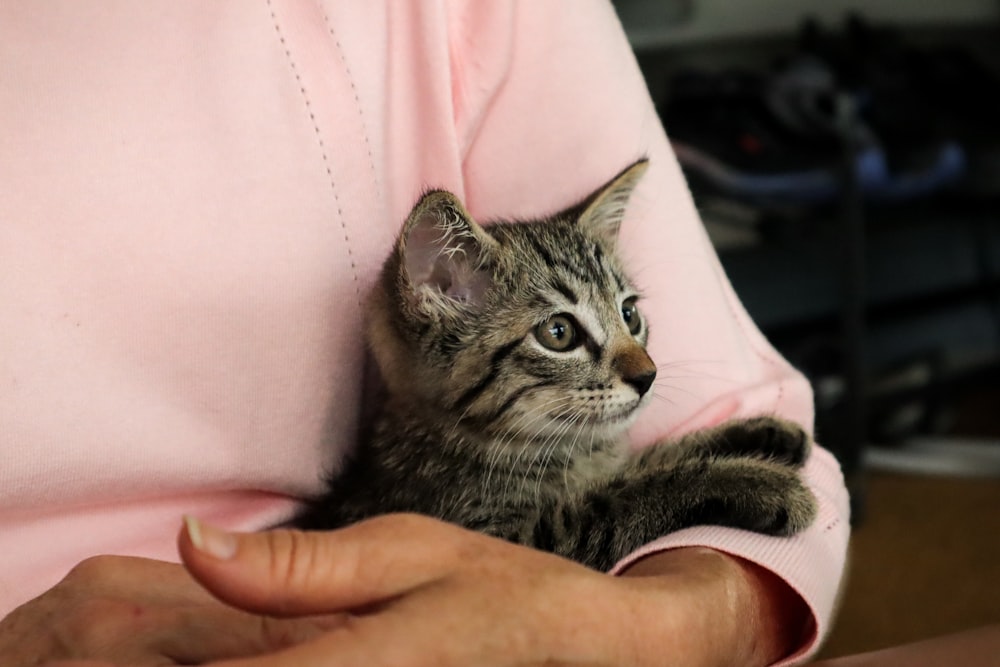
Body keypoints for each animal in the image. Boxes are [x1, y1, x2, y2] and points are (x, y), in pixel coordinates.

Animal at [300, 160, 816, 568]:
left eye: (630, 315)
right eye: (559, 333)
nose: (647, 375)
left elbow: (642, 460)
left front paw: (761, 435)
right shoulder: (499, 540)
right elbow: (620, 496)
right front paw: (758, 482)